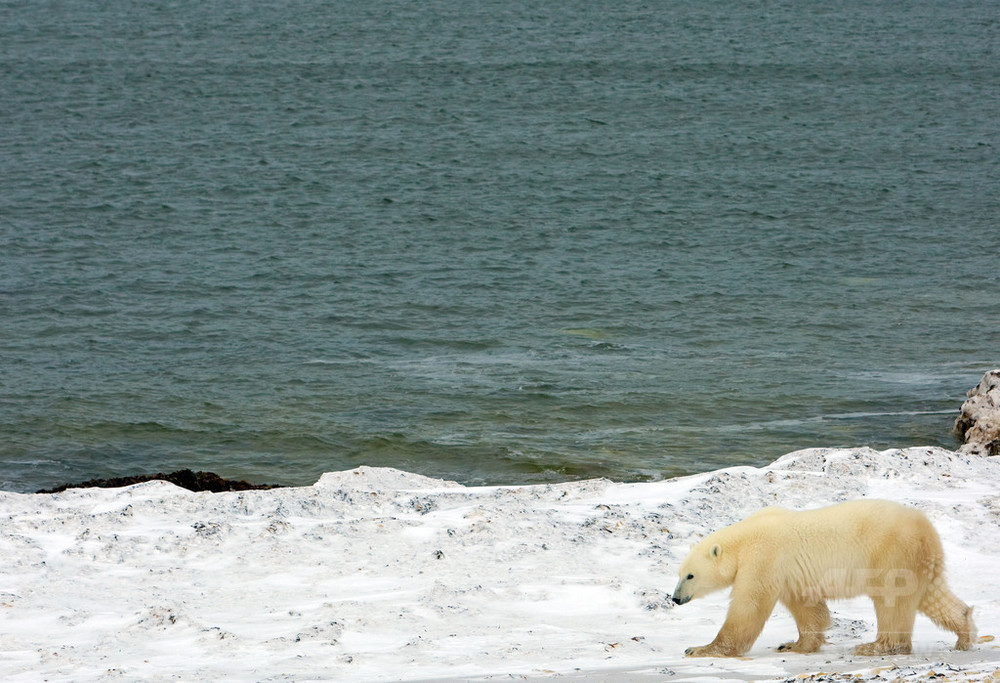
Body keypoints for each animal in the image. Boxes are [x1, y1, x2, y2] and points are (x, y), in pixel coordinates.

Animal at [672, 502, 976, 656]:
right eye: (679, 573)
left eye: (690, 575)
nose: (675, 598)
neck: (743, 540)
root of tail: (928, 530)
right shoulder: (791, 573)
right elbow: (806, 606)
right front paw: (795, 644)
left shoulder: (764, 559)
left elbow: (749, 607)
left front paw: (700, 649)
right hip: (919, 562)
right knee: (932, 596)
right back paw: (964, 634)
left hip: (892, 554)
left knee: (892, 600)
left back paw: (875, 646)